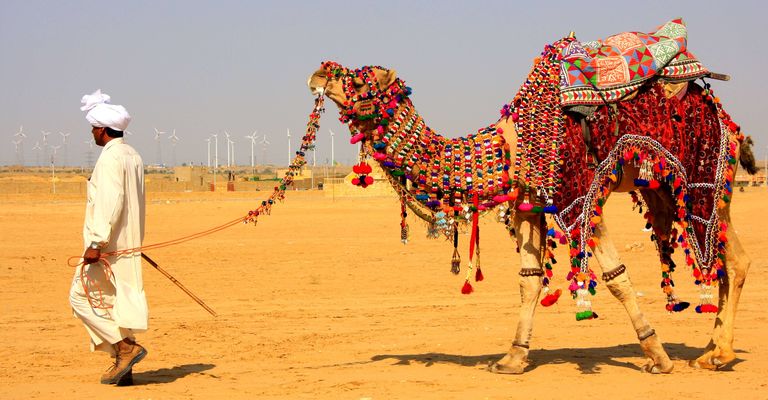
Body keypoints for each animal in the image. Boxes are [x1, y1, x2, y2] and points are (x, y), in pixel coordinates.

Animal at [306, 21, 754, 374]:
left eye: (359, 79)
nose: (318, 72)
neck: (507, 146)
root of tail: (731, 125)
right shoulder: (528, 206)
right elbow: (529, 279)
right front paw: (512, 358)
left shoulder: (580, 197)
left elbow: (616, 278)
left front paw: (657, 357)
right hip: (670, 190)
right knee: (725, 259)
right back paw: (712, 350)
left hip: (704, 183)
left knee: (733, 259)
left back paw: (718, 354)